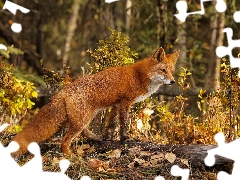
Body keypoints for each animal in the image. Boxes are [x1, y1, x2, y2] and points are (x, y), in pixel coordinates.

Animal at [11, 47, 180, 157]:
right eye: (163, 70)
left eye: (171, 71)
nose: (172, 81)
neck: (139, 76)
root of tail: (63, 92)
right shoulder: (125, 103)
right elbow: (123, 124)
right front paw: (124, 138)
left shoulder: (116, 105)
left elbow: (110, 124)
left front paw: (107, 136)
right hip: (83, 119)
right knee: (64, 141)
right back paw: (70, 156)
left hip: (86, 117)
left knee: (83, 133)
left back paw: (95, 138)